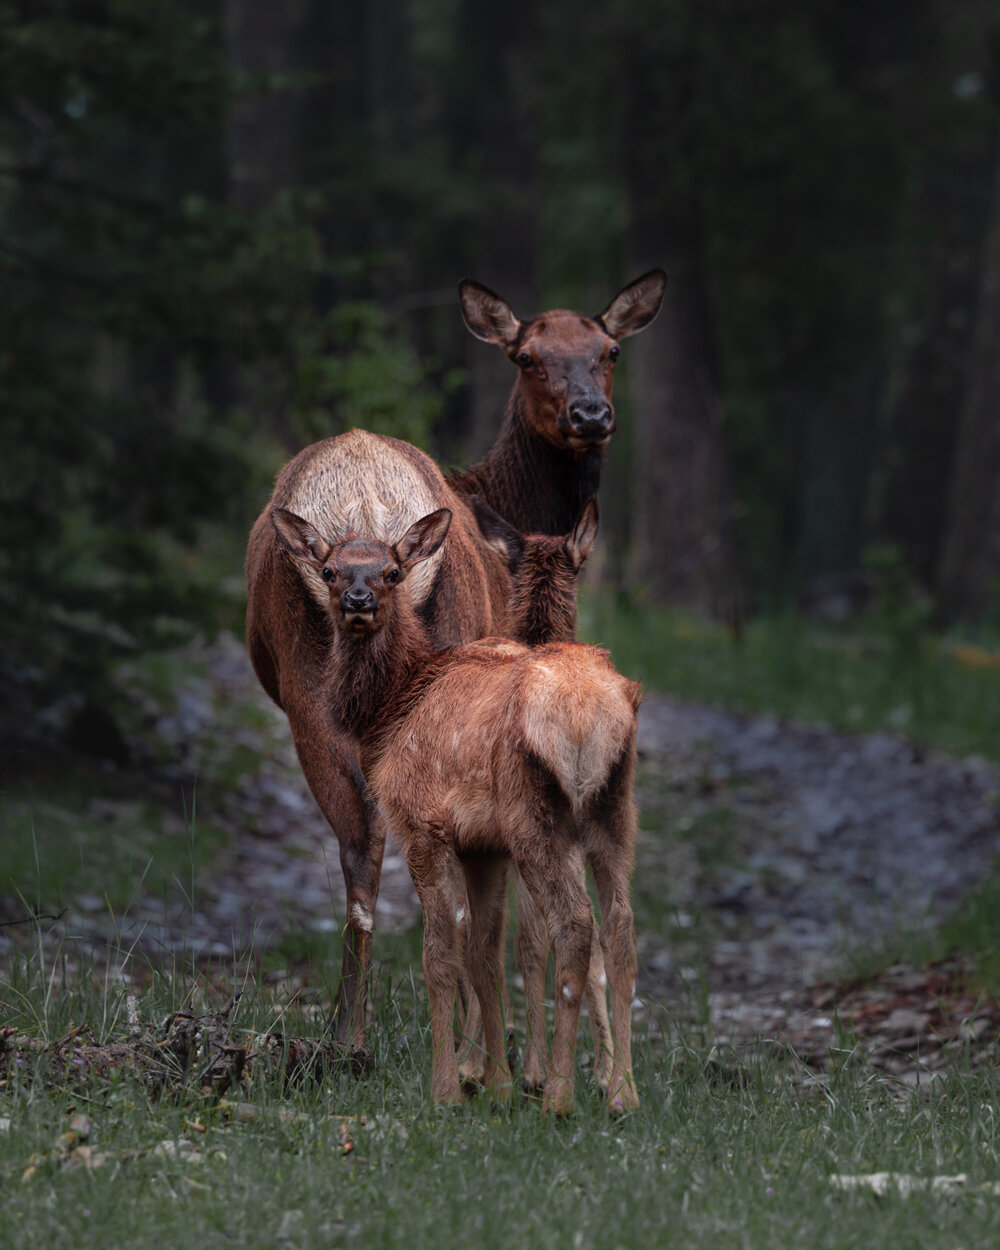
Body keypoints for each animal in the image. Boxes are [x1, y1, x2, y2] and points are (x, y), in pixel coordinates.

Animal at [265, 502, 640, 1120]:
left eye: (393, 572)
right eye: (329, 570)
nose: (359, 600)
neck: (391, 711)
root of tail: (592, 712)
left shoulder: (424, 824)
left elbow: (440, 956)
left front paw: (445, 1090)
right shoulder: (482, 846)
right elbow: (484, 955)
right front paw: (496, 1084)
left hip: (535, 819)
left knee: (573, 927)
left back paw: (560, 1096)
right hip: (614, 813)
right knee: (621, 927)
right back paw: (622, 1093)